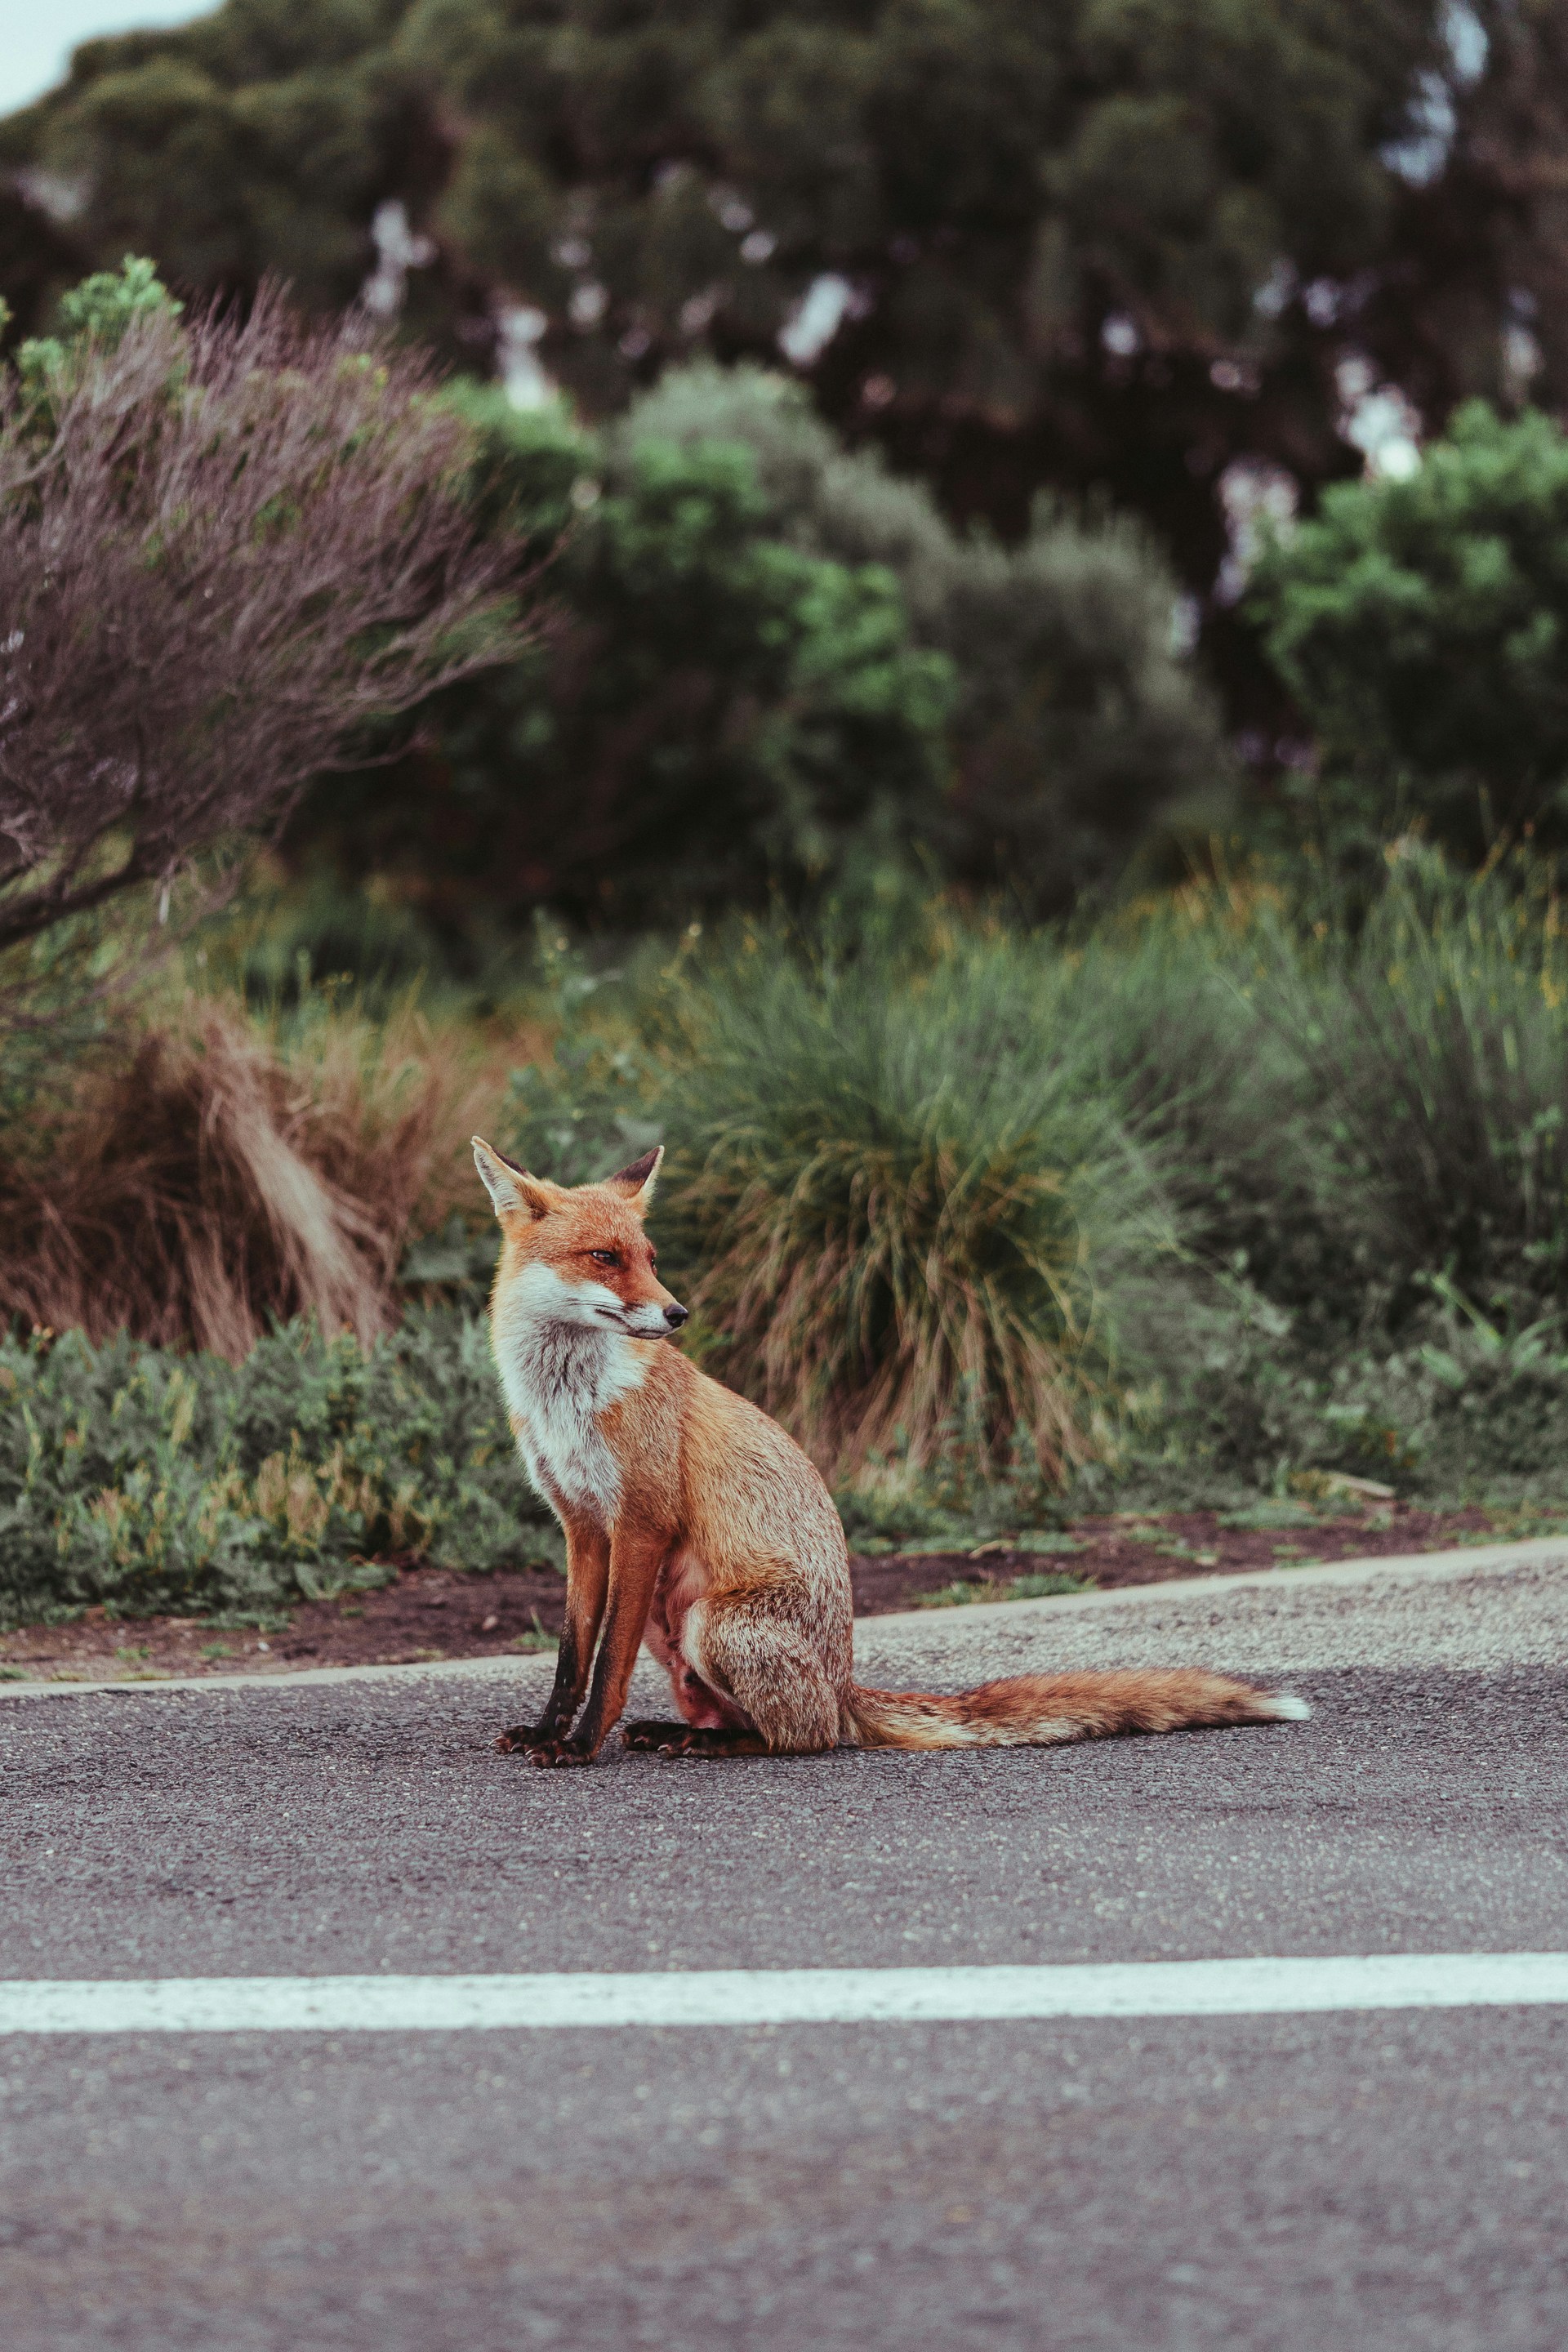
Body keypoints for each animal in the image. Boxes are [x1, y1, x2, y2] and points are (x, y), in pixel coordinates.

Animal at [471, 1136, 1311, 1766]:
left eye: (648, 1255)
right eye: (605, 1257)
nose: (677, 1313)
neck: (567, 1403)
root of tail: (845, 1687)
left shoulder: (641, 1521)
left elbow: (605, 1665)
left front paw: (581, 1747)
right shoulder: (584, 1527)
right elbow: (572, 1655)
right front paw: (548, 1733)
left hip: (712, 1623)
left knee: (801, 1737)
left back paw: (711, 1744)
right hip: (675, 1635)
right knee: (756, 1721)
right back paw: (674, 1731)